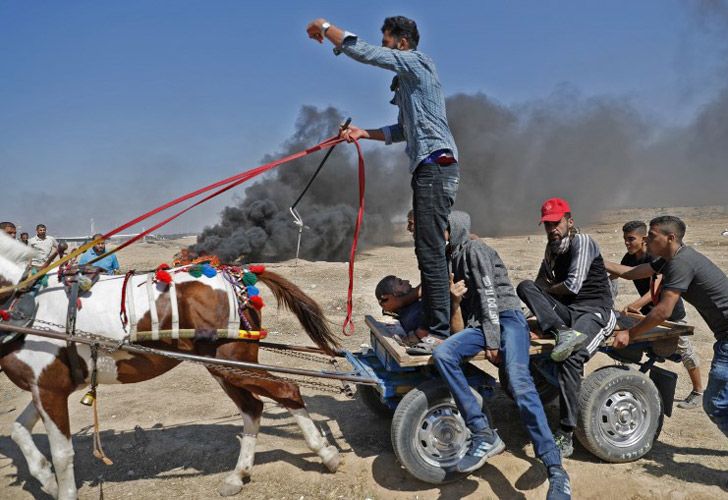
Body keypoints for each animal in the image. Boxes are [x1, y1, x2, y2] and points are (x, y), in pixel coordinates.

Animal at [0, 234, 342, 500]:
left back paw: (326, 454)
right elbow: (18, 431)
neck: (27, 301)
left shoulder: (50, 388)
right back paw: (239, 474)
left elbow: (62, 454)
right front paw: (46, 479)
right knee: (253, 408)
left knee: (287, 389)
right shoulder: (43, 387)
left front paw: (60, 486)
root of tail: (235, 272)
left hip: (234, 362)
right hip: (224, 367)